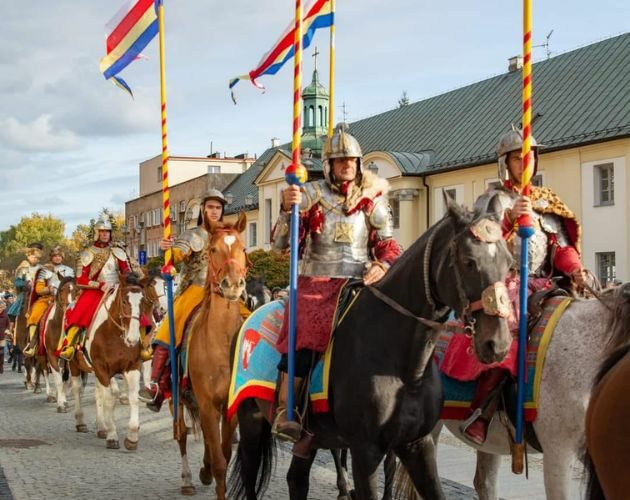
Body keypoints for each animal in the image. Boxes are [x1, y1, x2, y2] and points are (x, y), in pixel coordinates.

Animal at [177, 212, 251, 500]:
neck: (220, 343)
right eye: (213, 249)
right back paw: (188, 478)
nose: (232, 285)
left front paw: (208, 469)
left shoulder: (229, 407)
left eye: (243, 249)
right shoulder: (207, 404)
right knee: (181, 435)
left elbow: (225, 453)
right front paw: (210, 472)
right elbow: (220, 463)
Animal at [230, 196, 516, 500]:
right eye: (468, 261)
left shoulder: (417, 445)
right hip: (251, 421)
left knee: (296, 479)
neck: (404, 368)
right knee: (250, 476)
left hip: (308, 438)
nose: (497, 343)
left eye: (509, 263)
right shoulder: (364, 451)